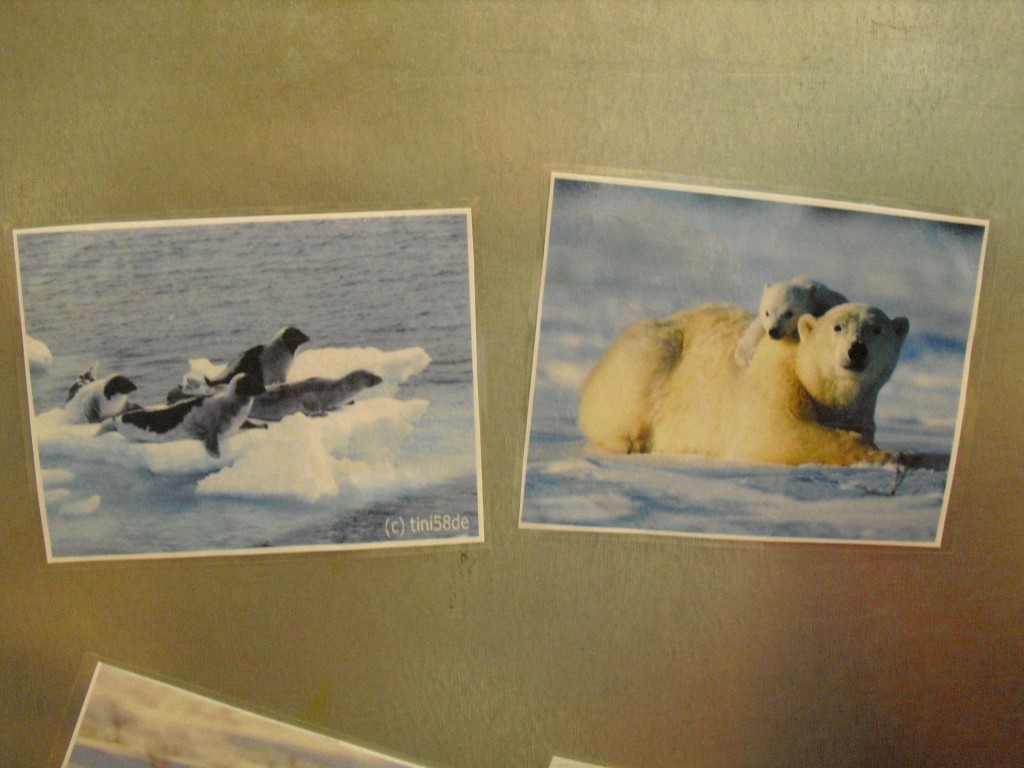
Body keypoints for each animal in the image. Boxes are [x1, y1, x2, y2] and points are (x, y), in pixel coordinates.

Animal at [577, 301, 909, 466]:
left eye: (876, 329)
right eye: (838, 327)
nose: (857, 350)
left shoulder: (862, 408)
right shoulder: (776, 380)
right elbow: (780, 433)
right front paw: (893, 455)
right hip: (651, 353)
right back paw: (628, 441)